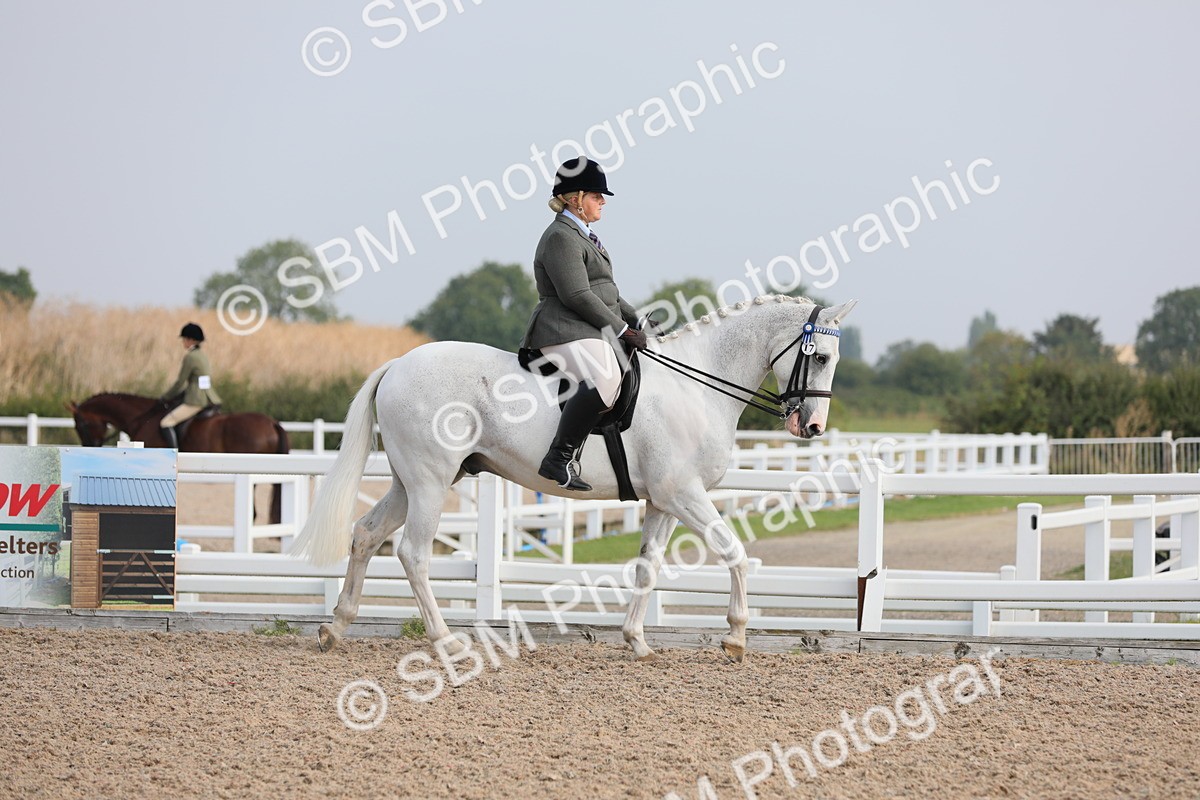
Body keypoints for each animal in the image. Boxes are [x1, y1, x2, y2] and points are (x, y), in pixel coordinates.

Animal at [292, 296, 857, 661]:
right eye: (822, 357)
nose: (811, 427)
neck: (695, 386)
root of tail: (397, 365)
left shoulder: (662, 501)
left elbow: (647, 567)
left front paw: (637, 642)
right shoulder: (684, 494)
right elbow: (734, 551)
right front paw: (737, 637)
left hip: (410, 482)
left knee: (365, 535)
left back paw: (336, 627)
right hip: (430, 482)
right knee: (413, 554)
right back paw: (446, 642)